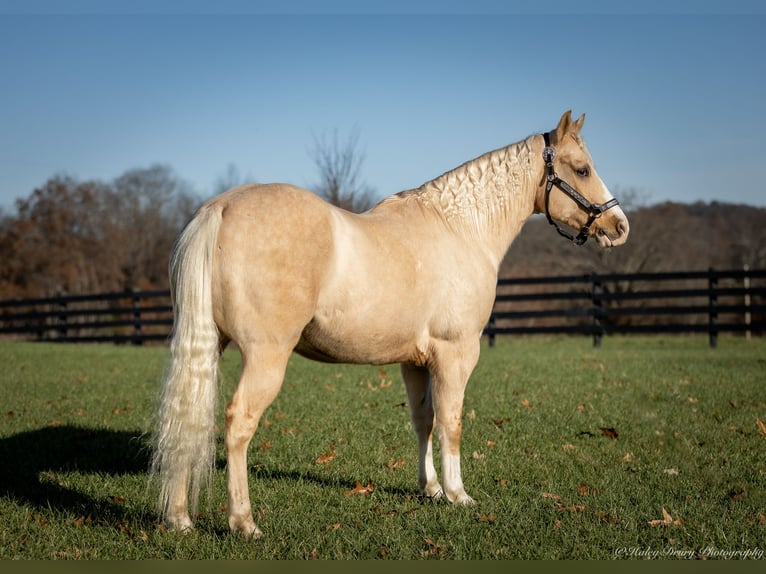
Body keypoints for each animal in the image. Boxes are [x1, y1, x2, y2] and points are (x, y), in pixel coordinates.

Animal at [150, 111, 632, 540]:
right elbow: (452, 421)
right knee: (238, 423)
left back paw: (179, 518)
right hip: (266, 356)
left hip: (210, 346)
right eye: (582, 169)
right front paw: (458, 494)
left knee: (189, 415)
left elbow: (424, 421)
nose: (619, 226)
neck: (460, 229)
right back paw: (244, 522)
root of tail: (221, 207)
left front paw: (431, 489)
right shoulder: (457, 353)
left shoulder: (415, 361)